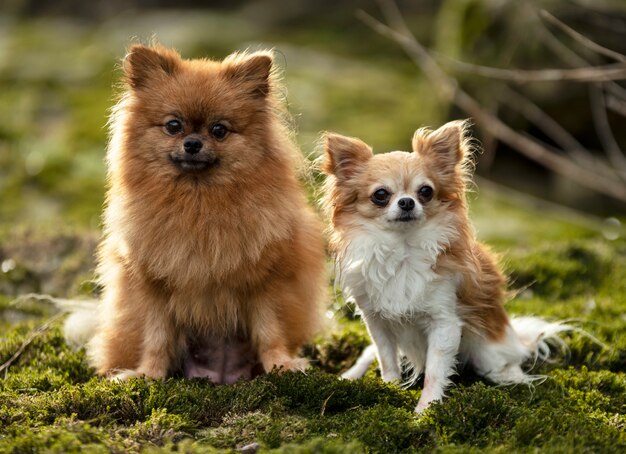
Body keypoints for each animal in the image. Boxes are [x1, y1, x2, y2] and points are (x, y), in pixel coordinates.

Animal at [78, 44, 324, 382]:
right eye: (173, 125)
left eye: (219, 130)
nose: (192, 143)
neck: (198, 202)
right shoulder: (153, 288)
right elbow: (157, 338)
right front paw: (148, 374)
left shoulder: (266, 283)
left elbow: (269, 331)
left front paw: (282, 365)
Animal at [322, 119, 572, 412]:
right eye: (380, 195)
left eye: (425, 192)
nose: (407, 201)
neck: (403, 249)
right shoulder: (376, 320)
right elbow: (386, 359)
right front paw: (390, 389)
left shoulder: (445, 323)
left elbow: (434, 370)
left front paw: (425, 410)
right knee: (369, 353)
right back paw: (350, 375)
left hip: (487, 348)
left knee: (504, 361)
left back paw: (510, 375)